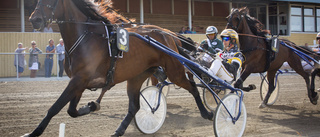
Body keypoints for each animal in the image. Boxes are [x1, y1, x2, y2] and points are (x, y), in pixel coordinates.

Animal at [25, 0, 214, 136]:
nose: (34, 19)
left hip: (174, 71)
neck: (87, 38)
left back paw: (207, 113)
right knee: (134, 107)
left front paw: (34, 132)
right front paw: (91, 106)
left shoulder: (79, 80)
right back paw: (119, 130)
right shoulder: (79, 81)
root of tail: (169, 35)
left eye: (52, 0)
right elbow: (71, 110)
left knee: (192, 87)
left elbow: (55, 107)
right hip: (137, 76)